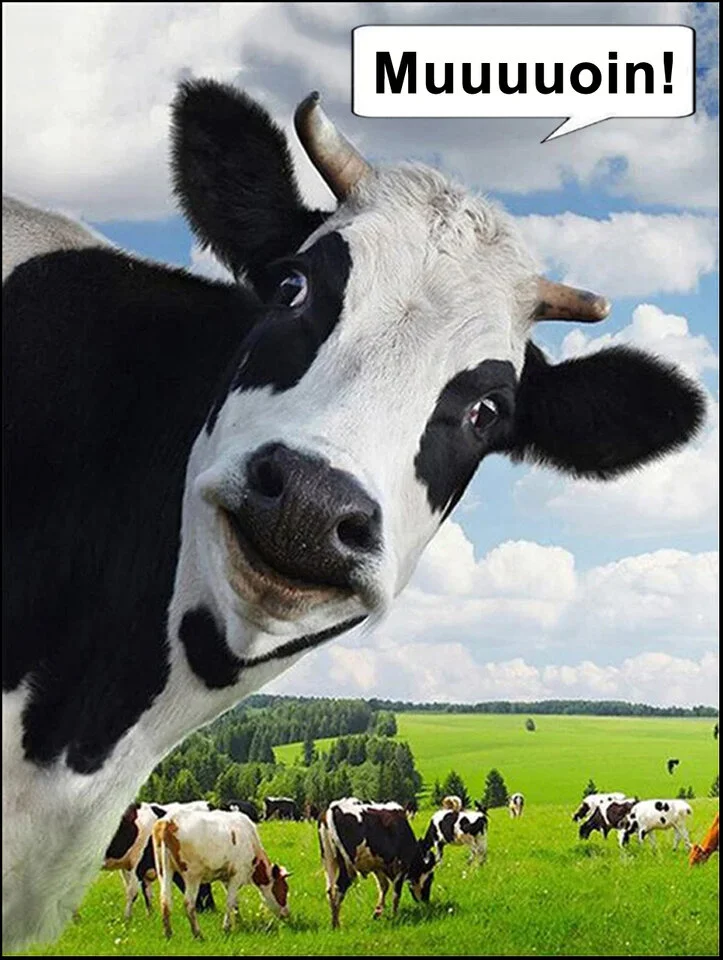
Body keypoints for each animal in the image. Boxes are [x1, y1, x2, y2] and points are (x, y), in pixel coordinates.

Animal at [152, 807, 289, 938]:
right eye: (284, 890)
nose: (287, 914)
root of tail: (169, 820)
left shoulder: (226, 878)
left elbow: (235, 901)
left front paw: (240, 923)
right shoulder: (237, 874)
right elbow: (229, 902)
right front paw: (226, 928)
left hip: (164, 870)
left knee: (165, 901)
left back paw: (168, 933)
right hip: (193, 875)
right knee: (189, 904)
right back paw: (198, 934)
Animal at [318, 798, 434, 927]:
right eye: (430, 879)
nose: (426, 901)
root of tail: (333, 808)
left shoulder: (377, 866)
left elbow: (384, 886)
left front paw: (378, 911)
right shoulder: (402, 864)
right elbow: (396, 891)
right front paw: (394, 915)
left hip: (328, 860)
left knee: (330, 890)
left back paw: (334, 923)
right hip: (345, 864)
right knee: (340, 888)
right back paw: (337, 925)